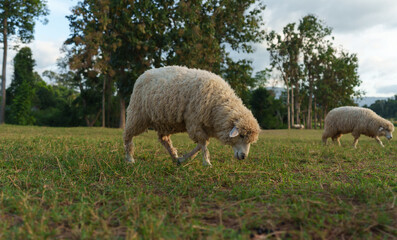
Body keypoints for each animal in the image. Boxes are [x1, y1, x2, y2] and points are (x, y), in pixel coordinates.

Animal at [123, 66, 260, 167]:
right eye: (241, 135)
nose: (243, 156)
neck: (219, 103)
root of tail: (144, 73)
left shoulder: (203, 126)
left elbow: (201, 144)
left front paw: (185, 159)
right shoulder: (194, 122)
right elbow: (203, 144)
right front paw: (207, 162)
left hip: (163, 122)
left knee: (164, 140)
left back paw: (174, 157)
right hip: (138, 115)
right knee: (128, 136)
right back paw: (130, 158)